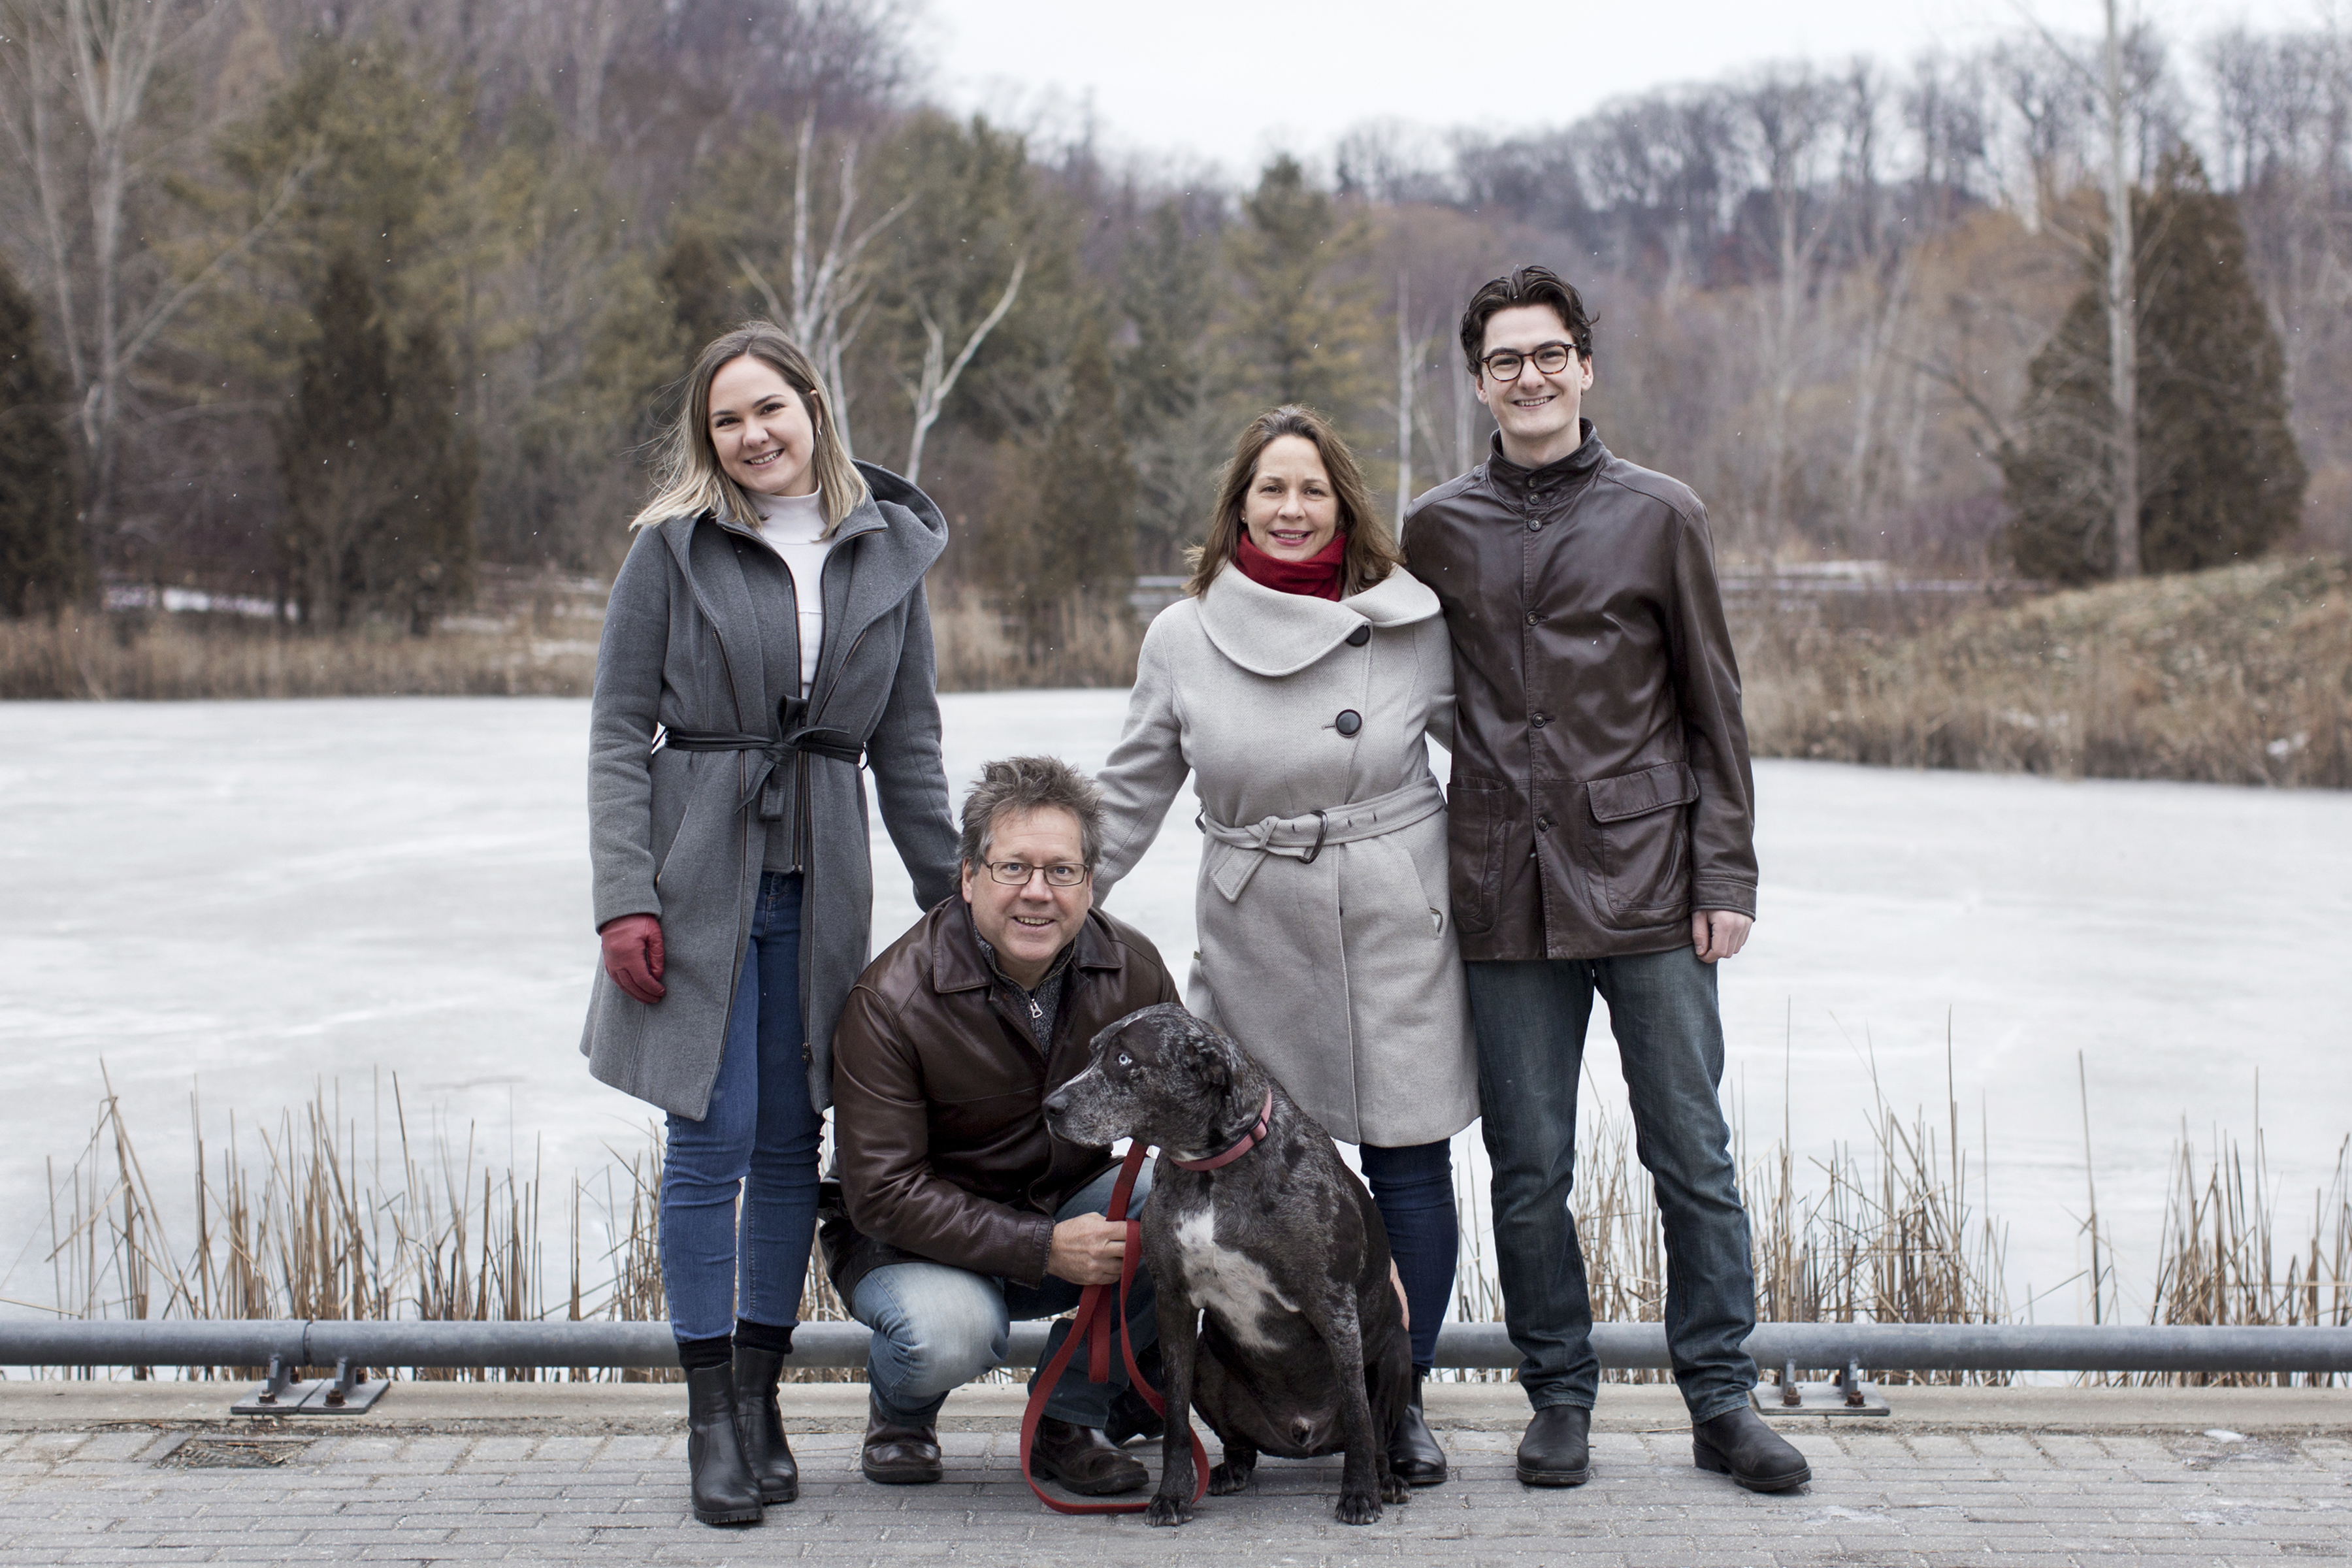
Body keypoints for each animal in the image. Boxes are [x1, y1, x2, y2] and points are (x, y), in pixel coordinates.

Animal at [1041, 1003, 1412, 1527]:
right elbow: (1176, 1419)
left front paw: (1359, 1494)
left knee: (1375, 1430)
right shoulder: (1174, 1303)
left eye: (1125, 1059)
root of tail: (1304, 1435)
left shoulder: (1333, 1303)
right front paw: (1173, 1494)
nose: (1050, 1106)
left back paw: (1384, 1479)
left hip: (1397, 1350)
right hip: (1207, 1363)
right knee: (1241, 1445)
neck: (1211, 1169)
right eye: (1093, 1051)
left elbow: (1360, 1411)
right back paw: (1228, 1471)